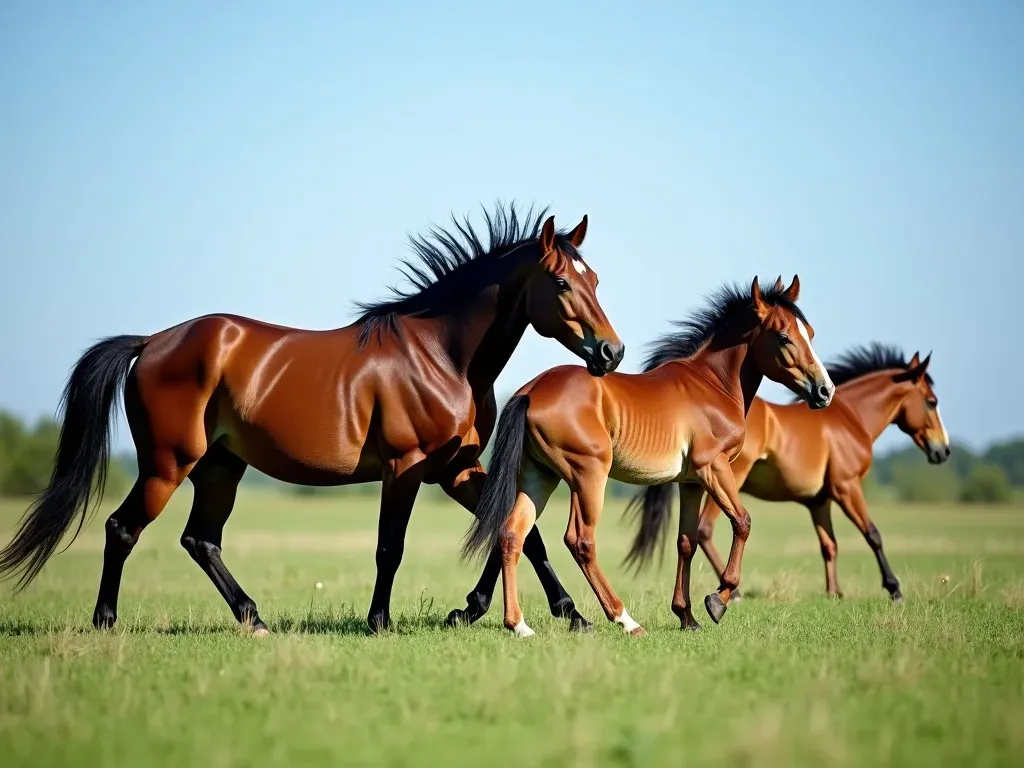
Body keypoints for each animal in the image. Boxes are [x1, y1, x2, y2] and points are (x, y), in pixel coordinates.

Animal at [0, 204, 622, 638]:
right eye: (562, 282)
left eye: (597, 281)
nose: (610, 353)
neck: (441, 356)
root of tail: (152, 342)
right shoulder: (406, 467)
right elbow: (390, 546)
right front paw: (380, 622)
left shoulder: (456, 469)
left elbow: (521, 534)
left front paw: (563, 614)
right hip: (166, 464)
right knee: (122, 529)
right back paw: (106, 622)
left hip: (219, 469)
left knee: (200, 539)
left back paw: (253, 618)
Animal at [462, 276, 831, 638]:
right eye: (784, 337)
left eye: (811, 333)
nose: (824, 390)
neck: (710, 384)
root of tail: (531, 390)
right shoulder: (713, 468)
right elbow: (742, 522)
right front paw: (718, 600)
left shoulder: (691, 483)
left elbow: (686, 541)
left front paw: (687, 616)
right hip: (587, 475)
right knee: (580, 541)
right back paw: (624, 619)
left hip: (539, 477)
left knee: (512, 534)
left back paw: (519, 625)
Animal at [622, 344, 950, 606]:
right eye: (932, 401)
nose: (943, 451)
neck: (850, 417)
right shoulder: (847, 488)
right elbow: (873, 535)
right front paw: (894, 589)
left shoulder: (819, 502)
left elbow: (829, 545)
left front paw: (834, 592)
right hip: (727, 479)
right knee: (705, 529)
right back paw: (732, 593)